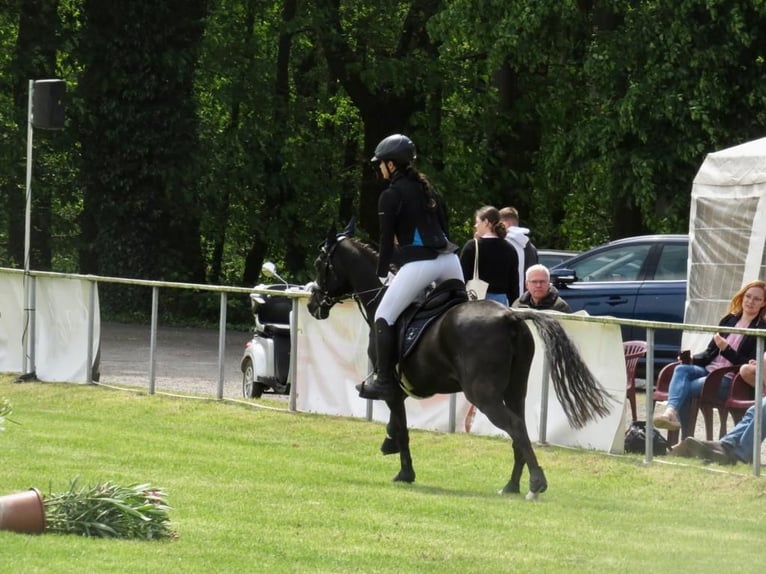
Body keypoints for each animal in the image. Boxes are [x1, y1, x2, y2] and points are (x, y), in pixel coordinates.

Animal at [306, 223, 612, 502]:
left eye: (320, 264)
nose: (312, 305)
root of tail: (510, 316)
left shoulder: (391, 389)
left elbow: (402, 428)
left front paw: (404, 471)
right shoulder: (400, 391)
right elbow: (398, 424)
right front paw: (390, 444)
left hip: (483, 395)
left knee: (514, 426)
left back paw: (536, 484)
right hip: (515, 390)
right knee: (521, 429)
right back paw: (511, 485)